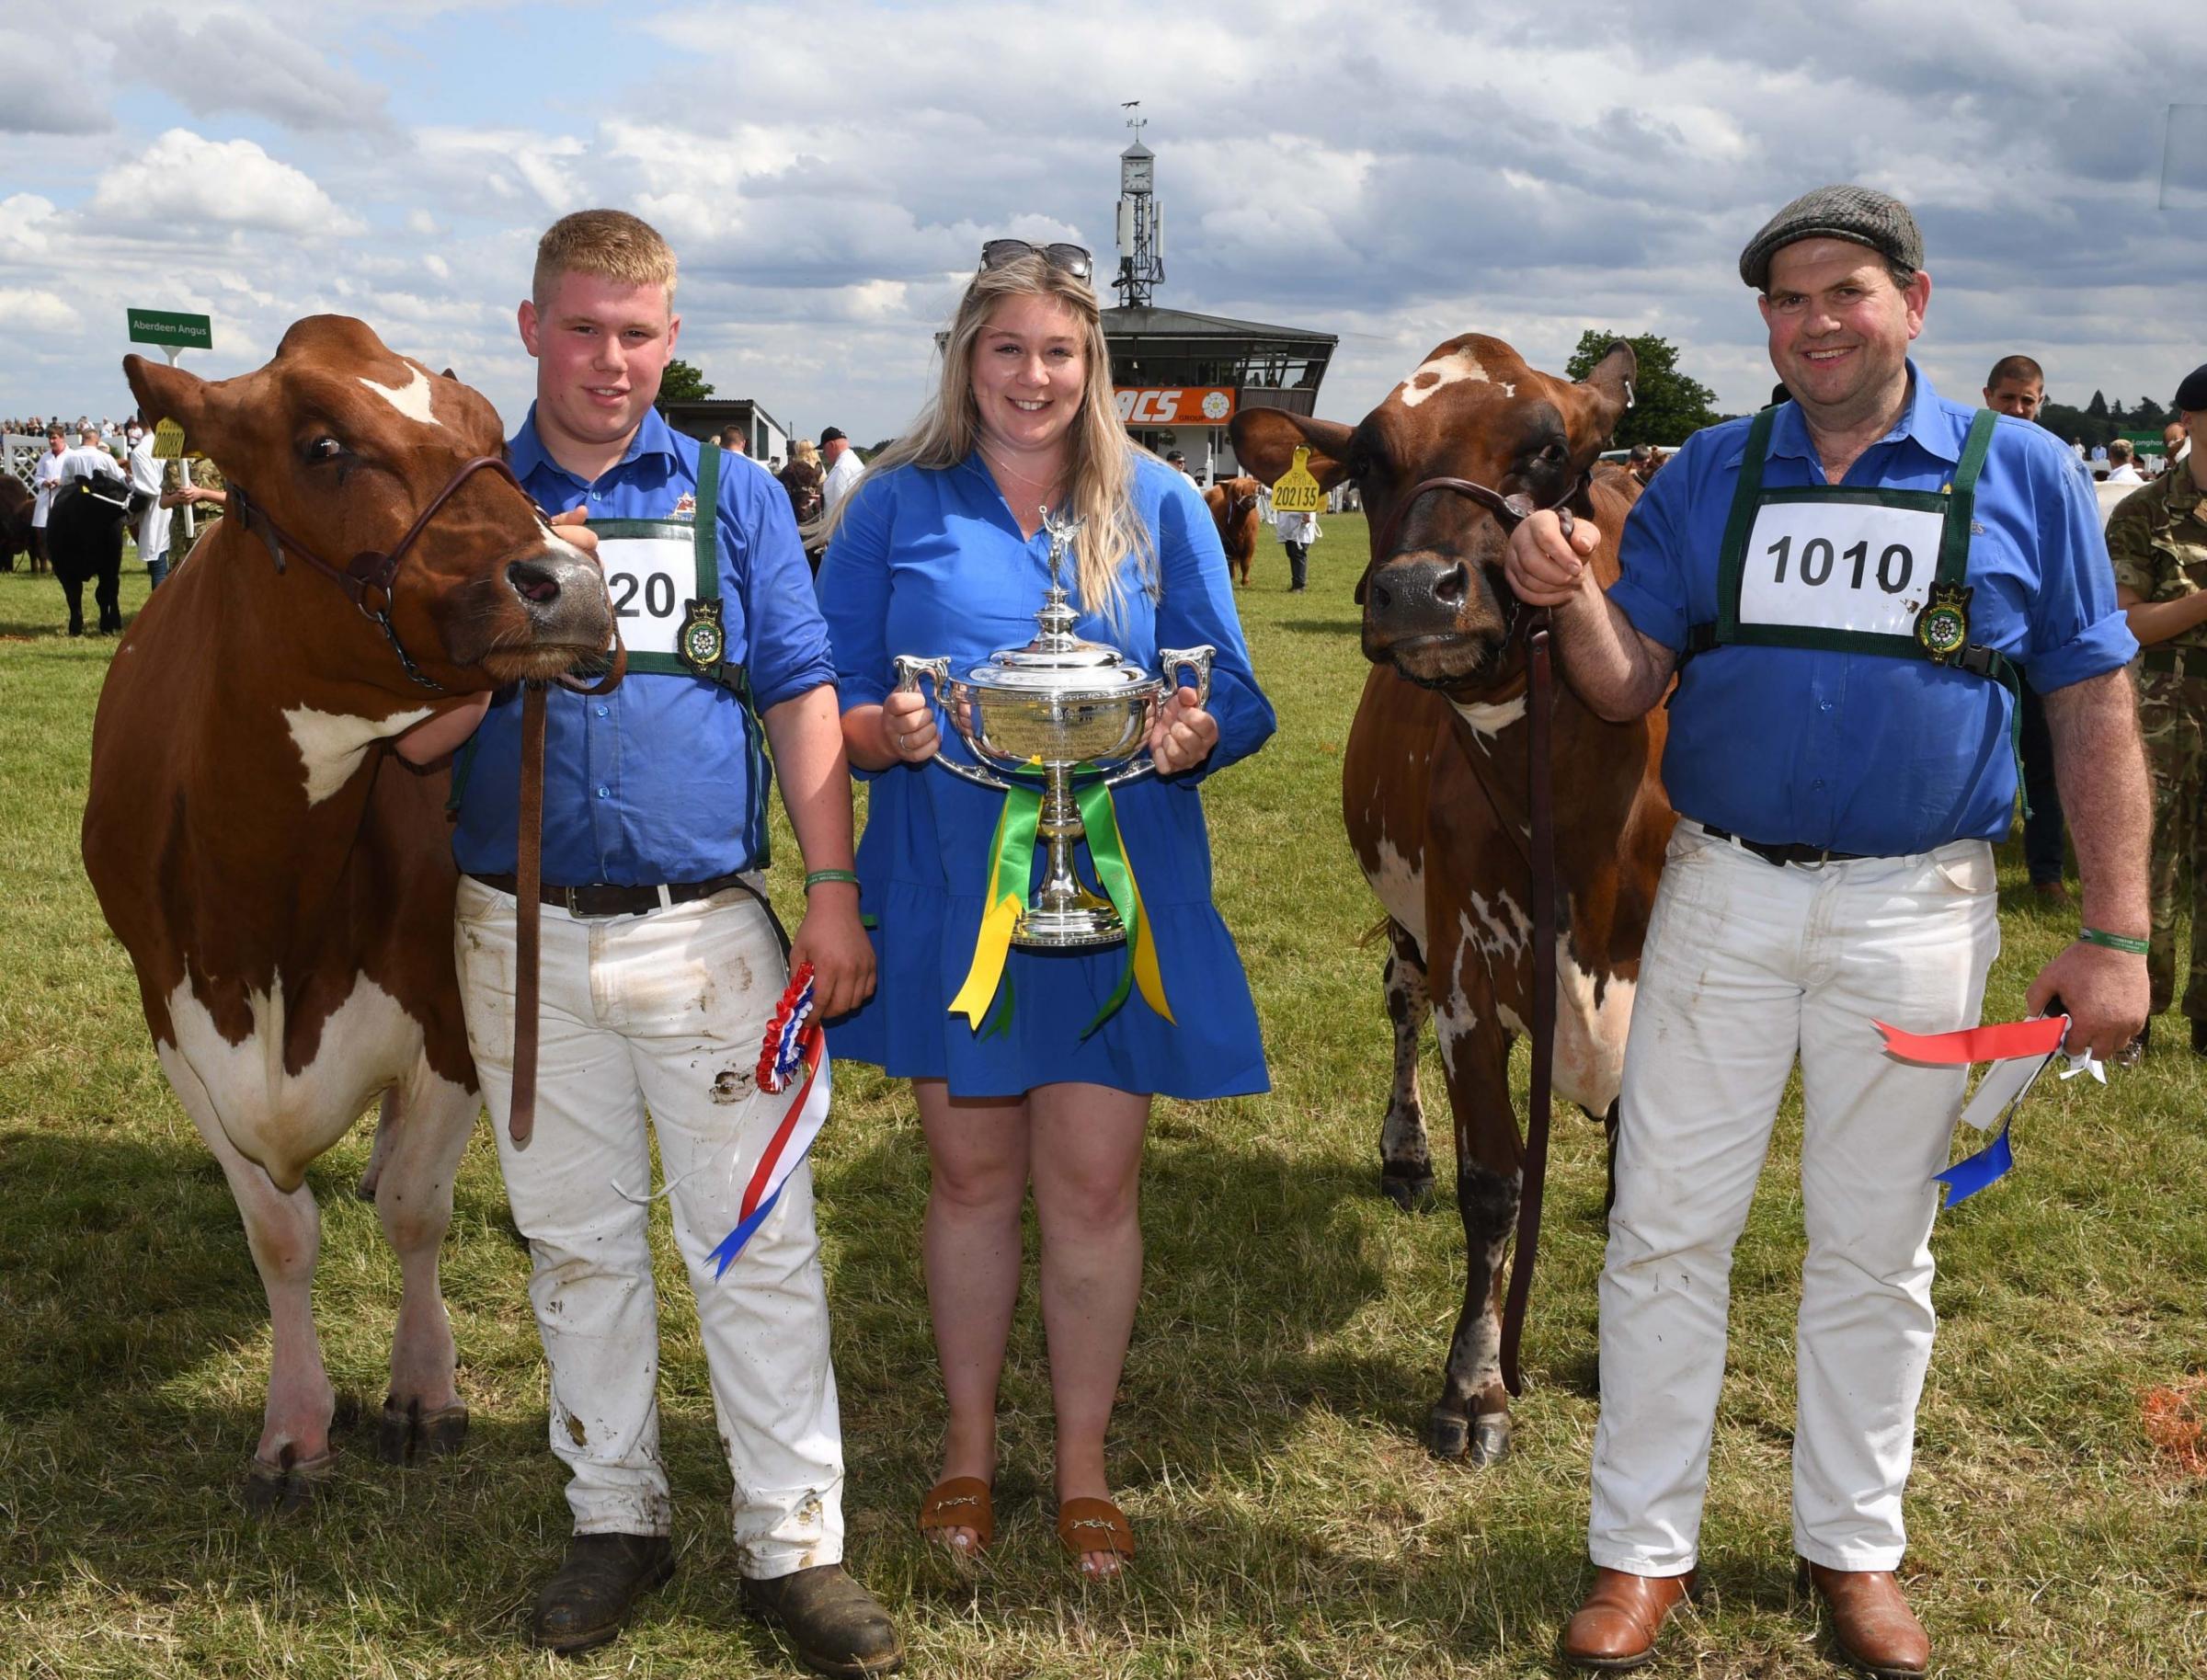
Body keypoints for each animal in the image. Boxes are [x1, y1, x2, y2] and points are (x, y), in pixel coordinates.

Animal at [45, 478, 129, 635]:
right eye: (111, 489)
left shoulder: (107, 567)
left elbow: (102, 594)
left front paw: (106, 626)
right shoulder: (63, 570)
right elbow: (73, 596)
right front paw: (75, 627)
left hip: (116, 561)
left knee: (114, 588)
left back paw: (116, 621)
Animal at [80, 313, 613, 1510]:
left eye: (491, 441)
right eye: (322, 447)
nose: (572, 580)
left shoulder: (449, 1010)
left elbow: (417, 1206)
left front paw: (422, 1390)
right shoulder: (175, 1022)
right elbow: (279, 1235)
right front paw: (294, 1429)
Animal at [1227, 333, 1668, 1466]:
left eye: (1553, 447)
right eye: (1370, 460)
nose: (1419, 591)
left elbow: (1636, 1189)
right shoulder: (1473, 979)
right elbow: (1495, 1185)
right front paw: (1477, 1384)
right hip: (1406, 920)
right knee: (1398, 1008)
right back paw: (1405, 1153)